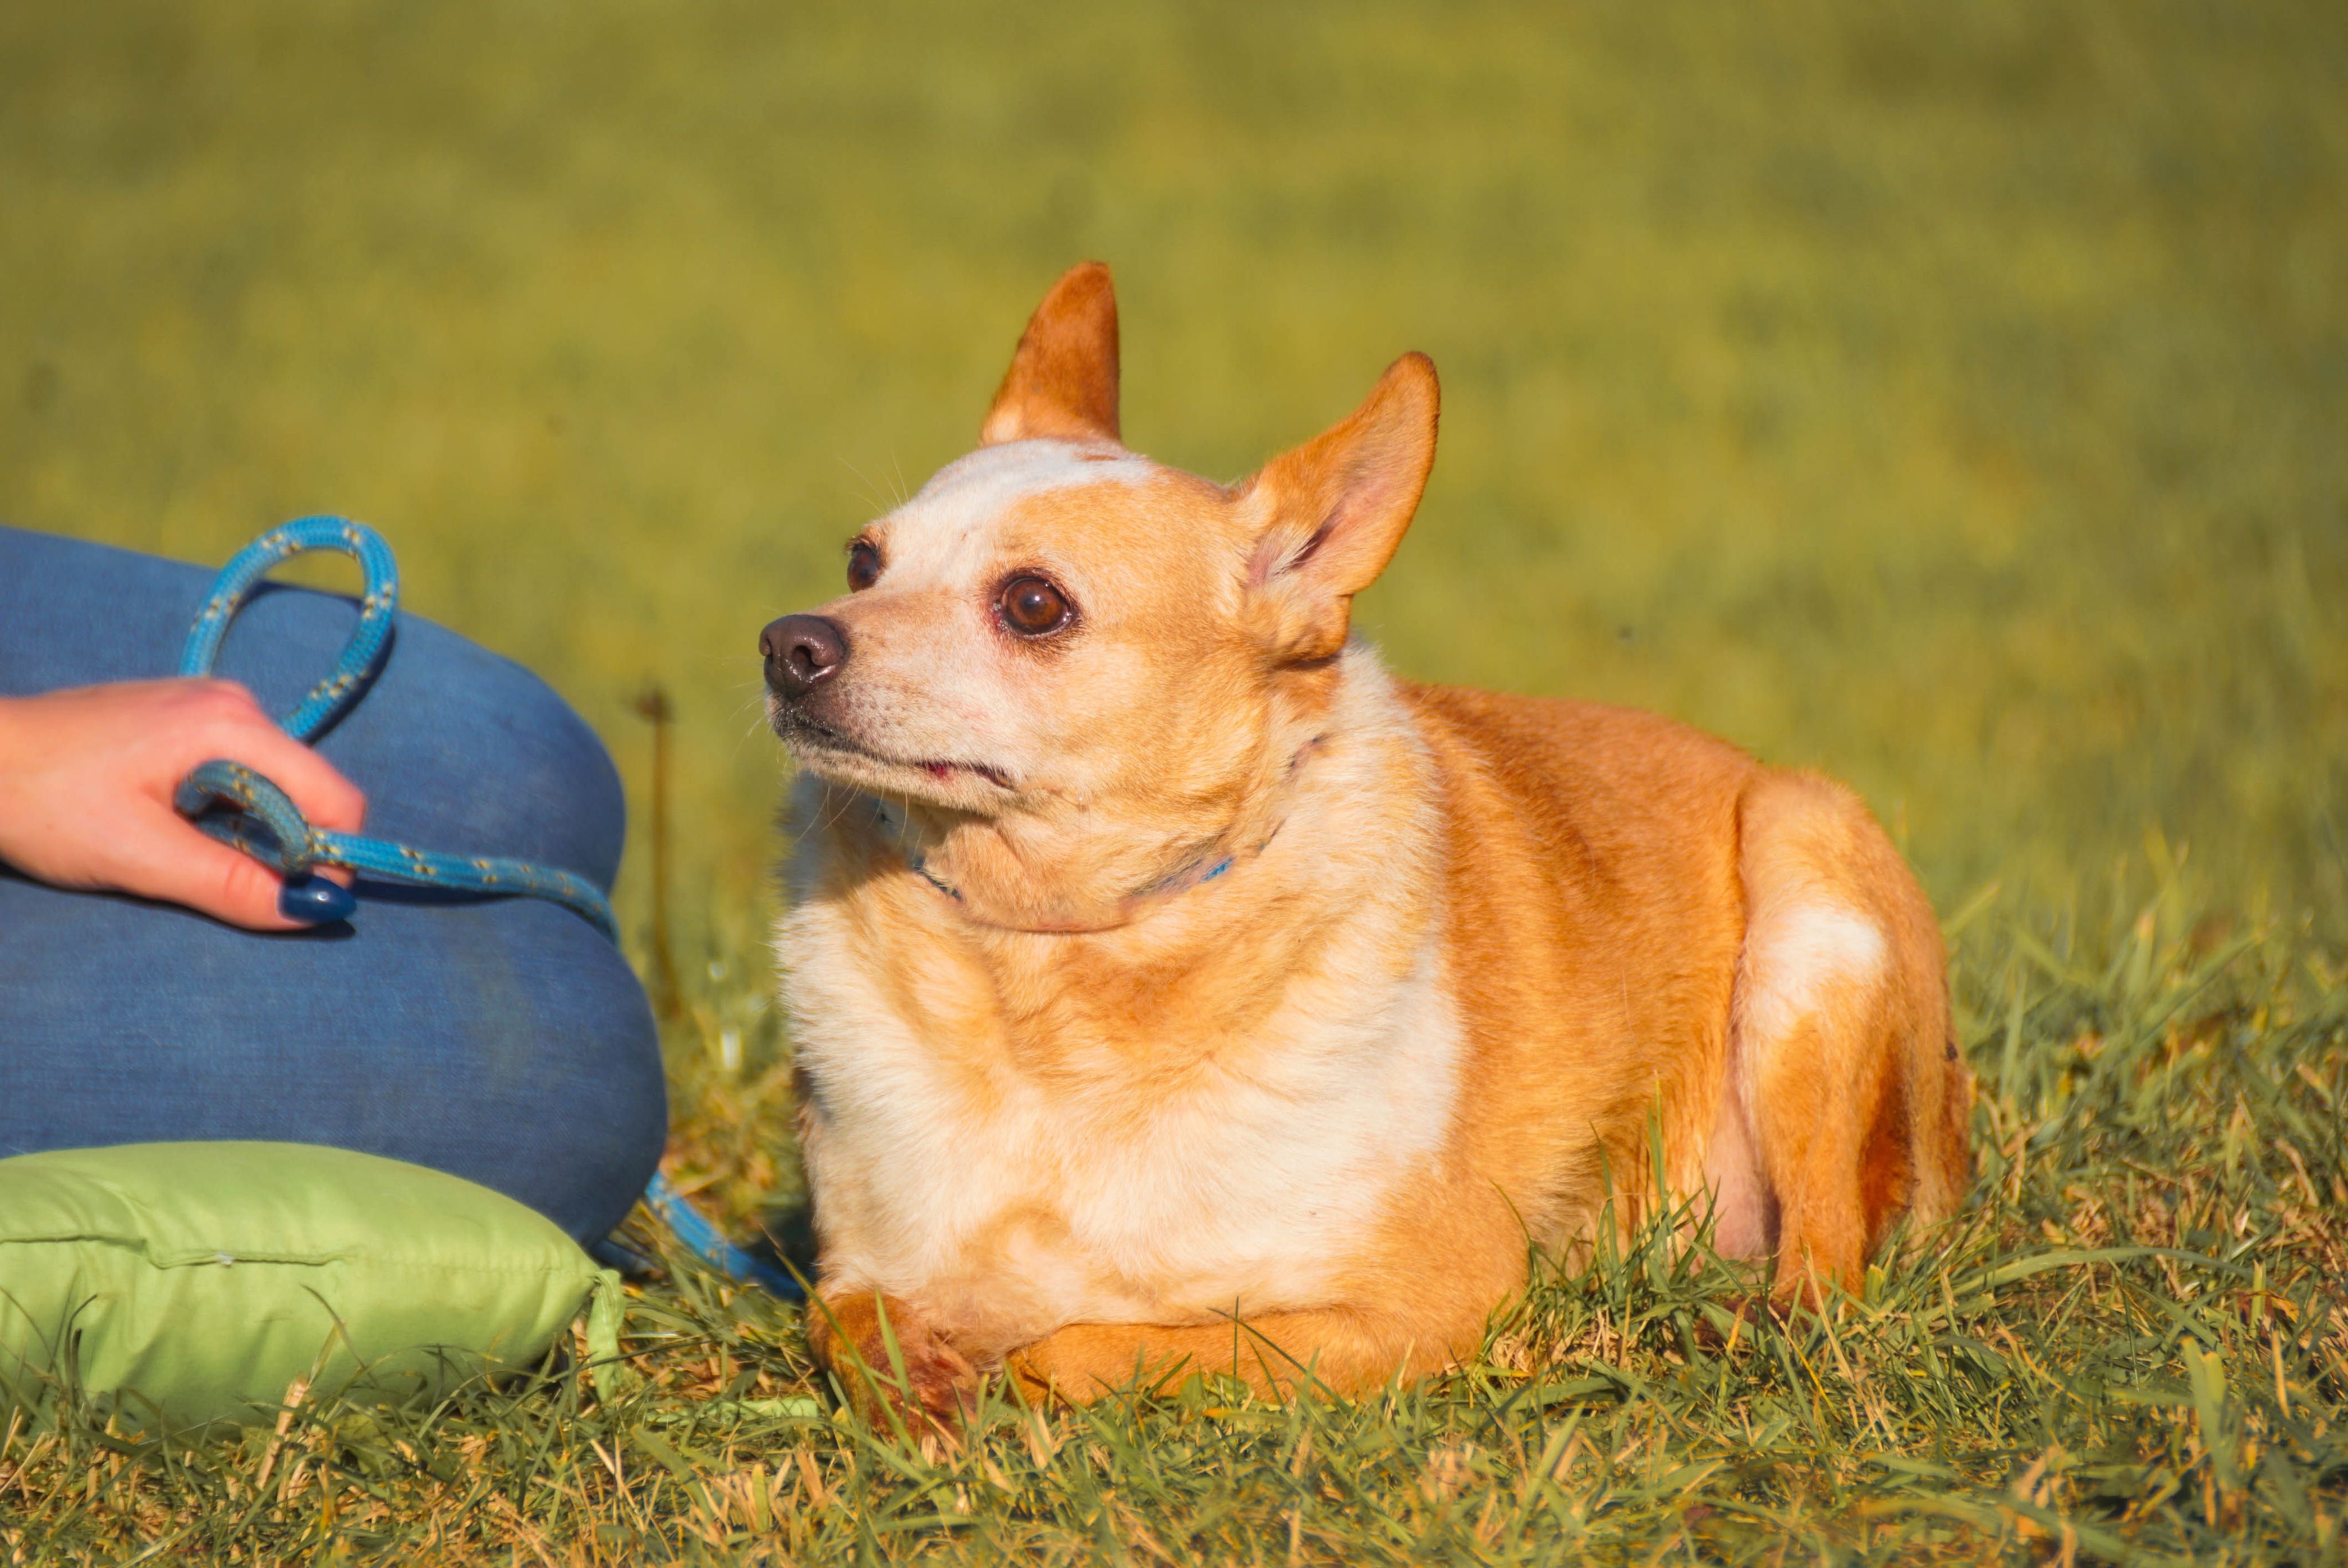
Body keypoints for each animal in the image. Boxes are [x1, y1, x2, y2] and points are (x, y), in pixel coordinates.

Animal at [761, 260, 1972, 1417]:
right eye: (863, 562)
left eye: (1032, 604)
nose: (788, 643)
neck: (1058, 960)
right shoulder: (861, 1263)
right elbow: (846, 1321)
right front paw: (917, 1383)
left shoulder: (1430, 1304)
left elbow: (1083, 1346)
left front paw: (1010, 1373)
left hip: (1804, 889)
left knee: (1828, 1261)